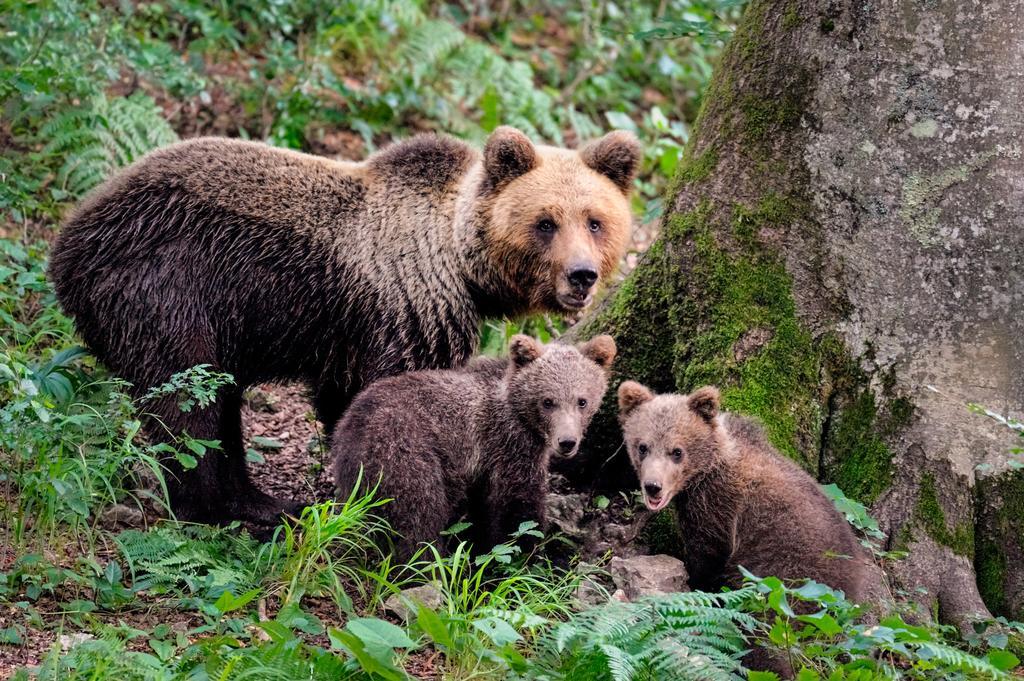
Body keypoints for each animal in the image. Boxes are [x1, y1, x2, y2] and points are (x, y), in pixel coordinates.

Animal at [51, 125, 638, 520]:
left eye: (595, 220)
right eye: (545, 222)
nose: (582, 275)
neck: (458, 264)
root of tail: (69, 244)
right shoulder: (403, 313)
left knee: (219, 404)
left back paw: (260, 500)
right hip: (168, 291)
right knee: (188, 403)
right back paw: (223, 508)